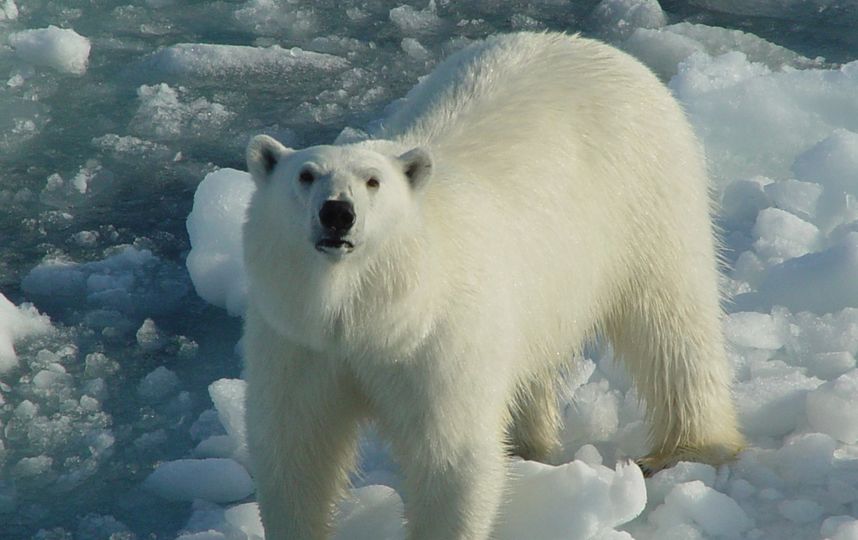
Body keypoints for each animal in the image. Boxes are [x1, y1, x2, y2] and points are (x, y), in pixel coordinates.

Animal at [241, 31, 744, 536]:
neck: (372, 313)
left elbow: (449, 456)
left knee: (670, 320)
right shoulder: (298, 339)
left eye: (373, 181)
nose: (337, 213)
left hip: (648, 196)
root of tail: (603, 50)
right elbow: (296, 450)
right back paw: (527, 447)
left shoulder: (436, 340)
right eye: (305, 175)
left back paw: (686, 450)